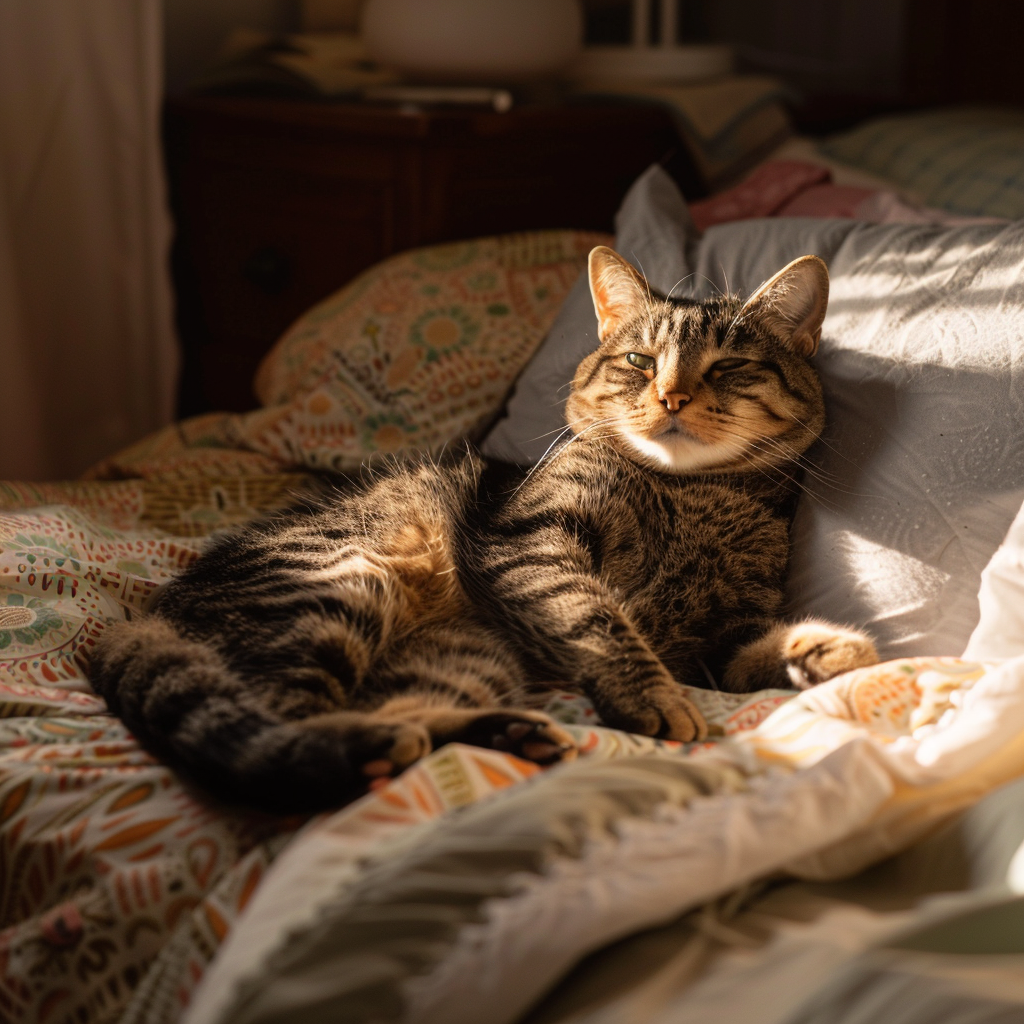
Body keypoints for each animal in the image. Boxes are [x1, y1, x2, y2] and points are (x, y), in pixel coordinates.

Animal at [88, 243, 876, 811]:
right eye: (638, 360)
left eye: (731, 366)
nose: (672, 395)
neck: (688, 492)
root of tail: (143, 616)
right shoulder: (532, 541)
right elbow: (600, 620)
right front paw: (652, 697)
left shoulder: (718, 637)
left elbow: (756, 653)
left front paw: (827, 651)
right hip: (340, 587)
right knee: (286, 727)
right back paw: (367, 748)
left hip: (467, 655)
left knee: (399, 716)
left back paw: (500, 732)